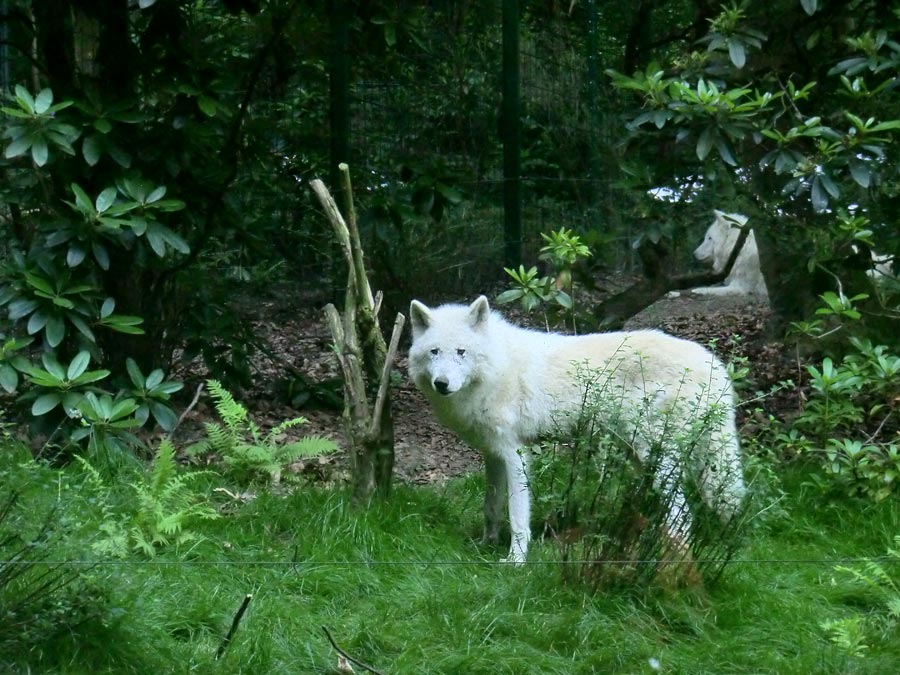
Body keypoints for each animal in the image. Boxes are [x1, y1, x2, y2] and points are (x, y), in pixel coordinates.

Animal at [410, 296, 744, 564]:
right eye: (434, 352)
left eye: (461, 352)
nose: (442, 384)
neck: (498, 366)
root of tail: (714, 363)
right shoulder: (493, 454)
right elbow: (491, 507)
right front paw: (485, 544)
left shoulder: (516, 453)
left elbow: (517, 516)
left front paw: (515, 561)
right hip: (641, 454)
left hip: (655, 455)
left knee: (683, 513)